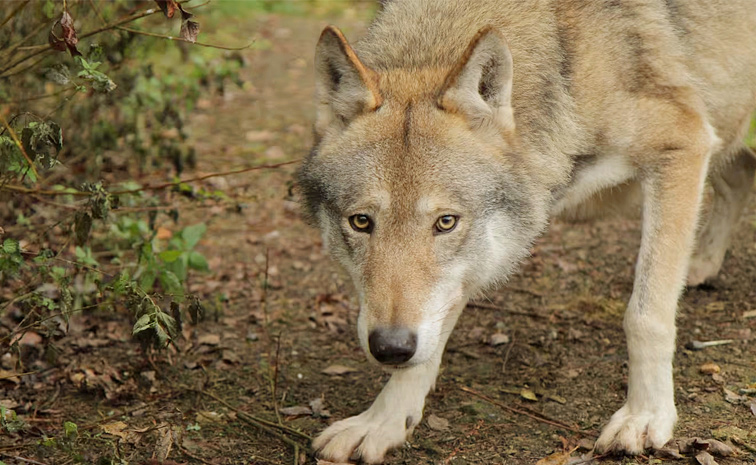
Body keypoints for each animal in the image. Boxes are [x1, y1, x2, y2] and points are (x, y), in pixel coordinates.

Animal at [297, 0, 756, 462]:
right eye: (361, 222)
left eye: (445, 222)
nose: (390, 347)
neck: (566, 66)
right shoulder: (481, 254)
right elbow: (430, 343)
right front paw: (383, 421)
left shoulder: (683, 145)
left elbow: (645, 316)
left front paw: (645, 416)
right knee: (741, 175)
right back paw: (702, 263)